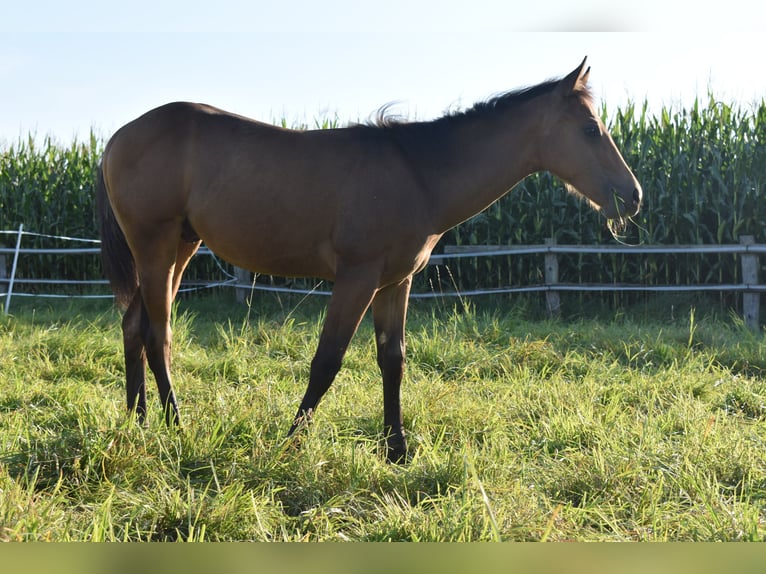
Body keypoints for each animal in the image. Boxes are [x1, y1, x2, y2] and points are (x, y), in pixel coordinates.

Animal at [99, 58, 644, 464]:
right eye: (590, 129)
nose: (632, 197)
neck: (419, 173)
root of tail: (118, 136)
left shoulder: (394, 283)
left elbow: (392, 359)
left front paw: (396, 449)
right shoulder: (356, 279)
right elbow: (327, 360)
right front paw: (291, 442)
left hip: (179, 248)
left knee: (134, 325)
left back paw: (137, 421)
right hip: (156, 246)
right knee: (158, 333)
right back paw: (175, 424)